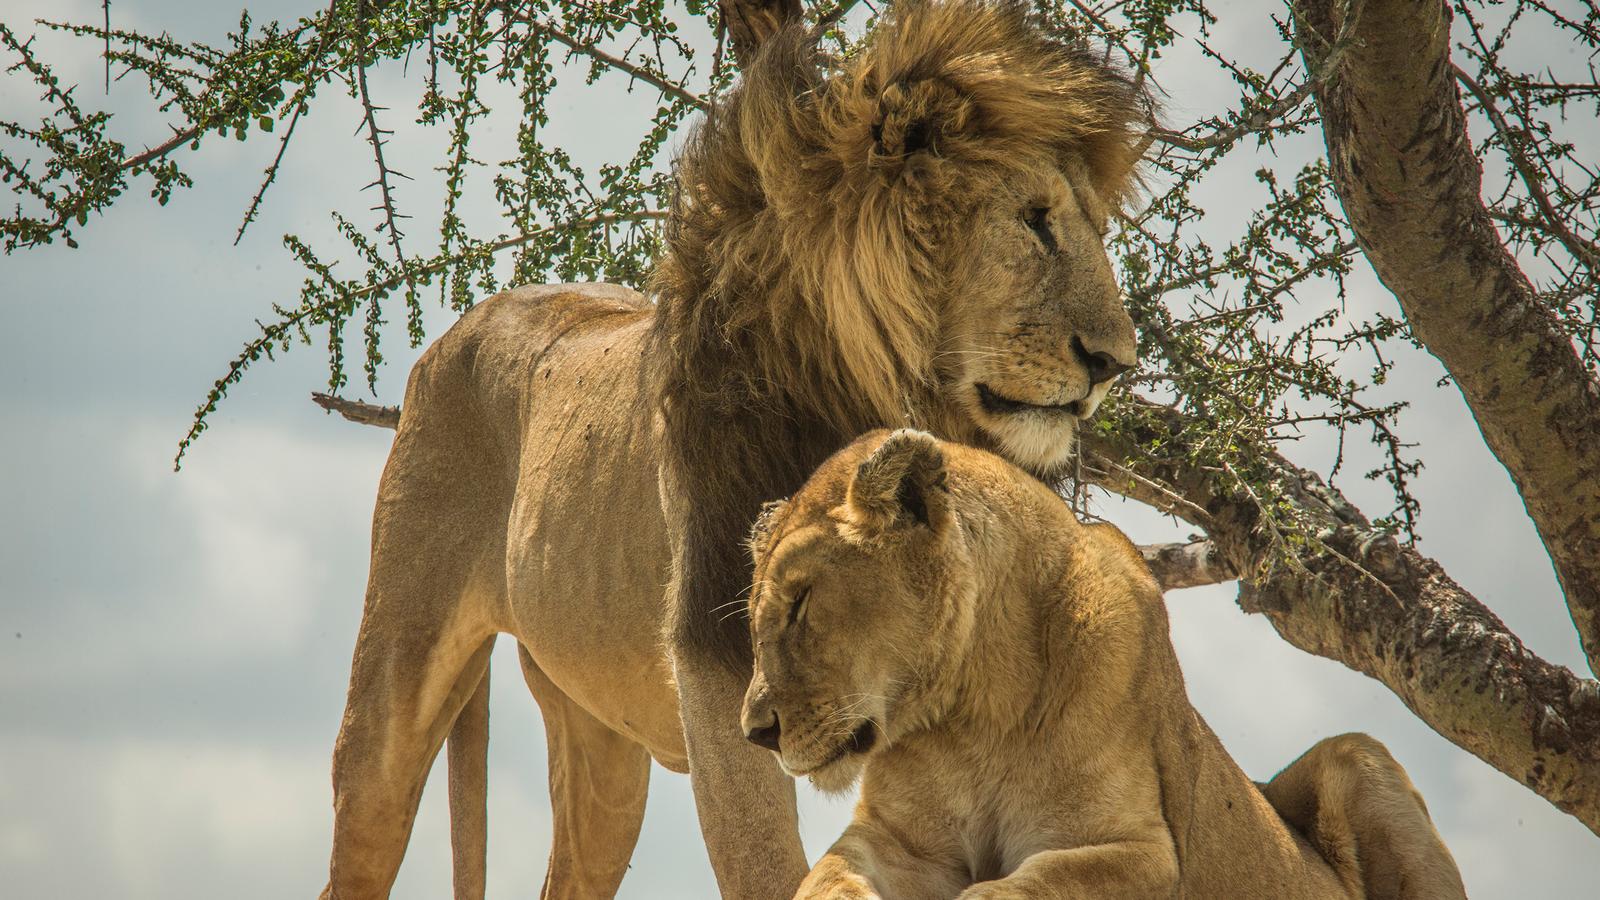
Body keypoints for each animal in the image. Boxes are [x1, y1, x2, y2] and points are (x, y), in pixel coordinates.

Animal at [321, 3, 1152, 890]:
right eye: (1034, 220)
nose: (1116, 362)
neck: (863, 390)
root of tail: (461, 326)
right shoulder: (721, 657)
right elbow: (766, 866)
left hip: (600, 747)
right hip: (394, 670)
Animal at [742, 429, 1465, 896]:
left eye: (800, 602)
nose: (755, 733)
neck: (971, 717)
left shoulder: (1144, 852)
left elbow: (1018, 889)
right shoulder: (898, 842)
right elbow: (829, 879)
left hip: (1358, 756)